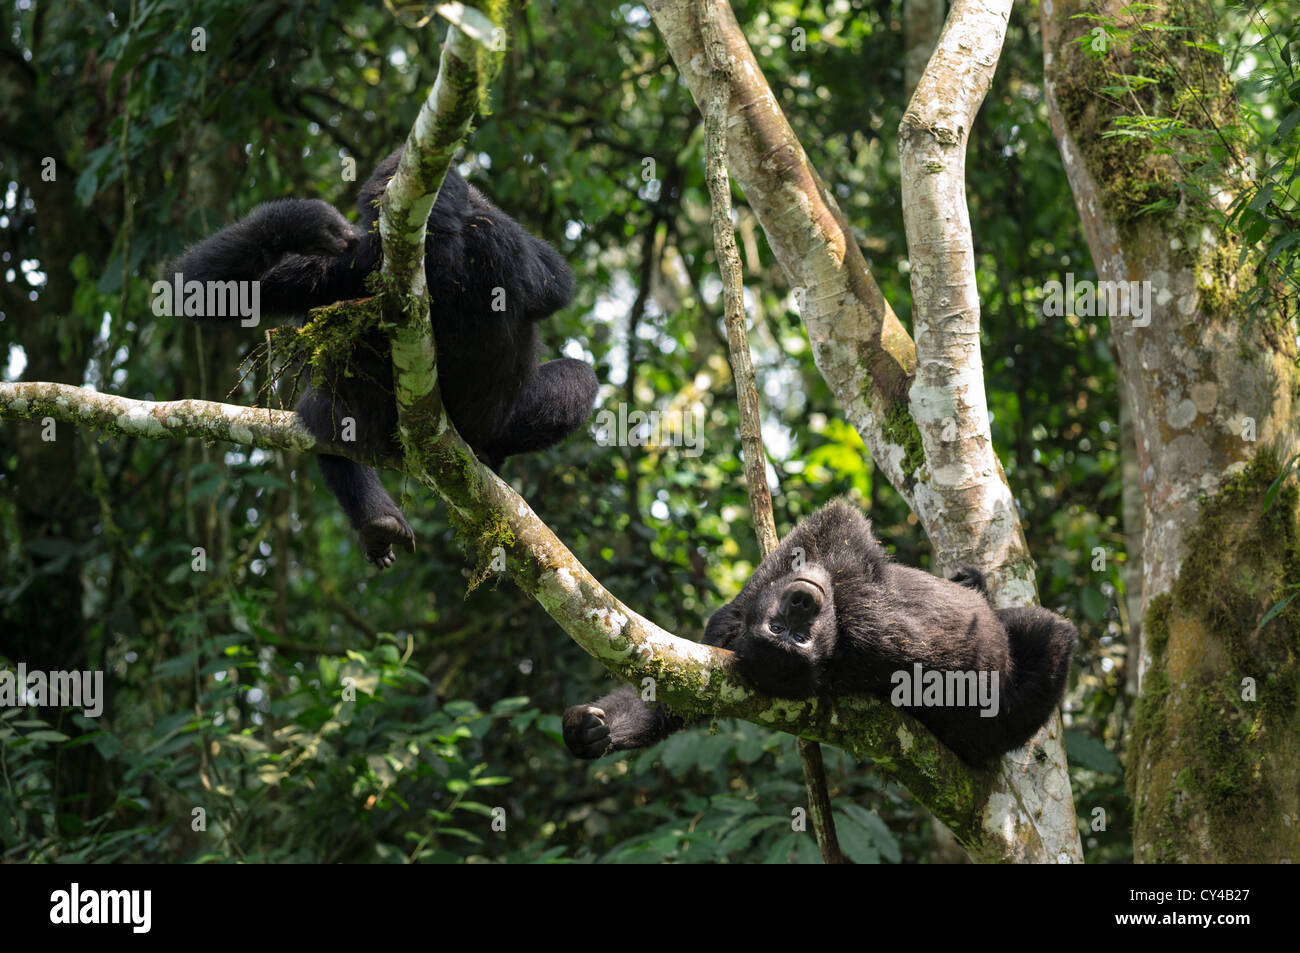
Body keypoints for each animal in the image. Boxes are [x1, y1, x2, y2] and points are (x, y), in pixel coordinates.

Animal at [163, 146, 603, 564]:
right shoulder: (348, 258)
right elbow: (204, 293)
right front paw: (300, 220)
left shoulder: (355, 257)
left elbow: (550, 279)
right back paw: (382, 518)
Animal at [564, 499, 1081, 764]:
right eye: (782, 630)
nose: (803, 602)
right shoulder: (869, 627)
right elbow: (842, 529)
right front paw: (593, 732)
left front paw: (590, 730)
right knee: (1050, 635)